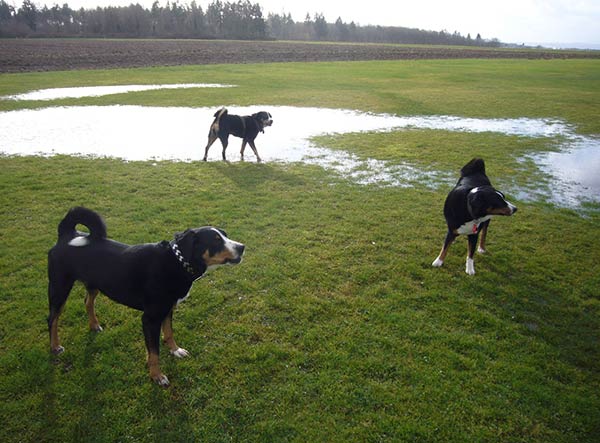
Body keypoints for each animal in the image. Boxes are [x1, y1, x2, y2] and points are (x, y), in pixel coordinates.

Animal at [47, 207, 244, 386]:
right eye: (216, 240)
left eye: (225, 235)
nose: (242, 247)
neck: (176, 262)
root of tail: (67, 234)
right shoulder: (150, 318)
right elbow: (154, 352)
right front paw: (157, 376)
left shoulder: (168, 309)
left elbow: (169, 333)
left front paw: (175, 350)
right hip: (59, 287)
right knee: (52, 318)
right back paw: (55, 347)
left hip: (94, 284)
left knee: (88, 302)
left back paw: (94, 325)